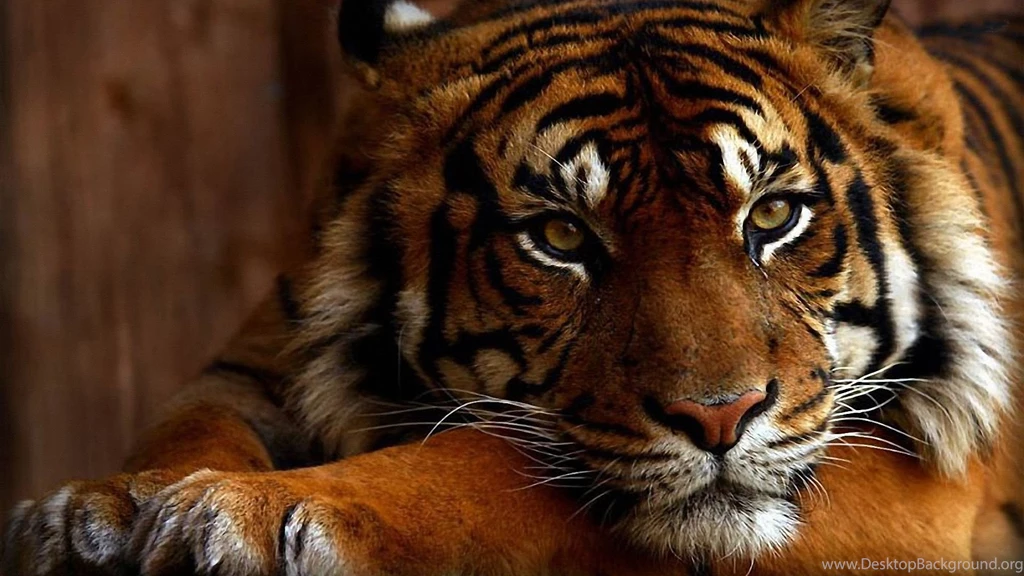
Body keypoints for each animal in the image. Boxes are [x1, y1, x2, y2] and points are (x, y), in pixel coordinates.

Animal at [3, 0, 1023, 574]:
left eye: (772, 216)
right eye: (561, 236)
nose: (722, 417)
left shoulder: (907, 471)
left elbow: (490, 461)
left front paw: (255, 515)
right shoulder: (258, 362)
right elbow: (185, 429)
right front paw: (101, 515)